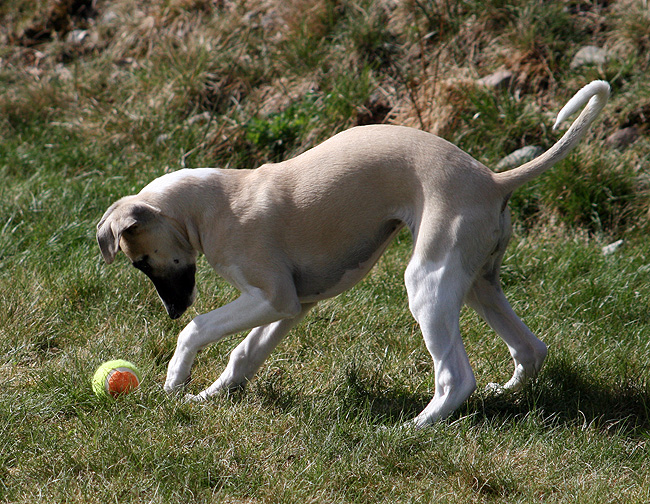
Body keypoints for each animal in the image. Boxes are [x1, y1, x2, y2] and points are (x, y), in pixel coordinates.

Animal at [96, 80, 608, 428]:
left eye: (141, 262)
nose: (171, 311)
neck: (213, 202)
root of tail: (494, 180)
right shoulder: (295, 304)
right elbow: (245, 354)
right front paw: (208, 397)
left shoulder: (271, 296)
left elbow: (200, 329)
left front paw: (175, 379)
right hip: (477, 280)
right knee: (530, 349)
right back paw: (506, 392)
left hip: (429, 281)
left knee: (457, 377)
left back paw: (412, 427)